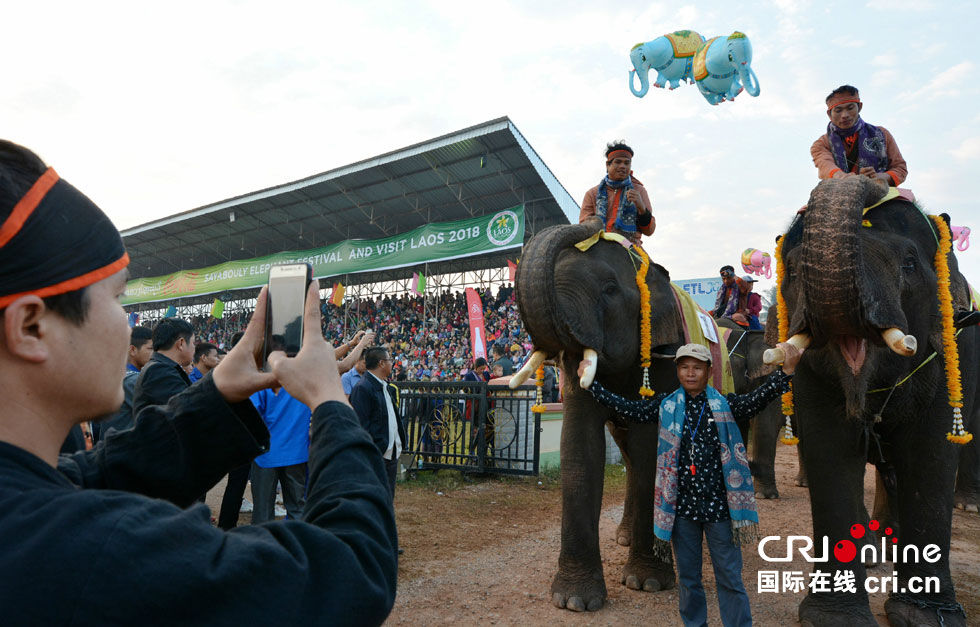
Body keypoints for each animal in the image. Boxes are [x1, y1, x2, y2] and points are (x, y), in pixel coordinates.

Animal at [768, 177, 976, 627]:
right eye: (793, 269)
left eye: (911, 265)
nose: (874, 181)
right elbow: (831, 447)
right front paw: (836, 620)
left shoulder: (951, 346)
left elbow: (932, 451)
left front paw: (927, 617)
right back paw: (874, 550)